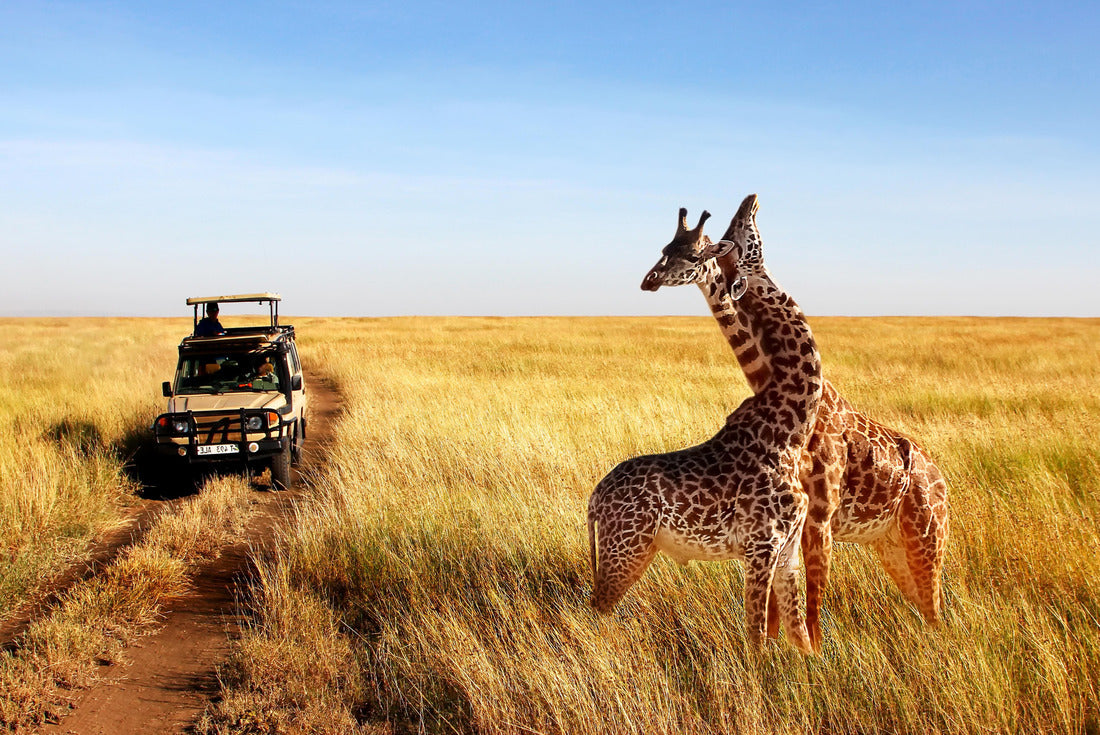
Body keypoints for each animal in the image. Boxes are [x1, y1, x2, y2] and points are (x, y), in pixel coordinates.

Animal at [587, 208, 823, 653]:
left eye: (694, 253)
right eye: (665, 248)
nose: (649, 279)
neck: (791, 428)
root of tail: (594, 499)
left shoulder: (787, 551)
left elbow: (800, 637)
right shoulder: (760, 546)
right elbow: (755, 636)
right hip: (625, 549)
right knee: (595, 609)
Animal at [641, 194, 950, 651]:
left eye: (697, 251)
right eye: (665, 247)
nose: (649, 280)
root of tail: (942, 479)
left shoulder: (817, 517)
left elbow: (808, 607)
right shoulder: (788, 523)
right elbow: (780, 608)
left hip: (927, 537)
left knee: (935, 608)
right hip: (891, 544)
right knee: (925, 608)